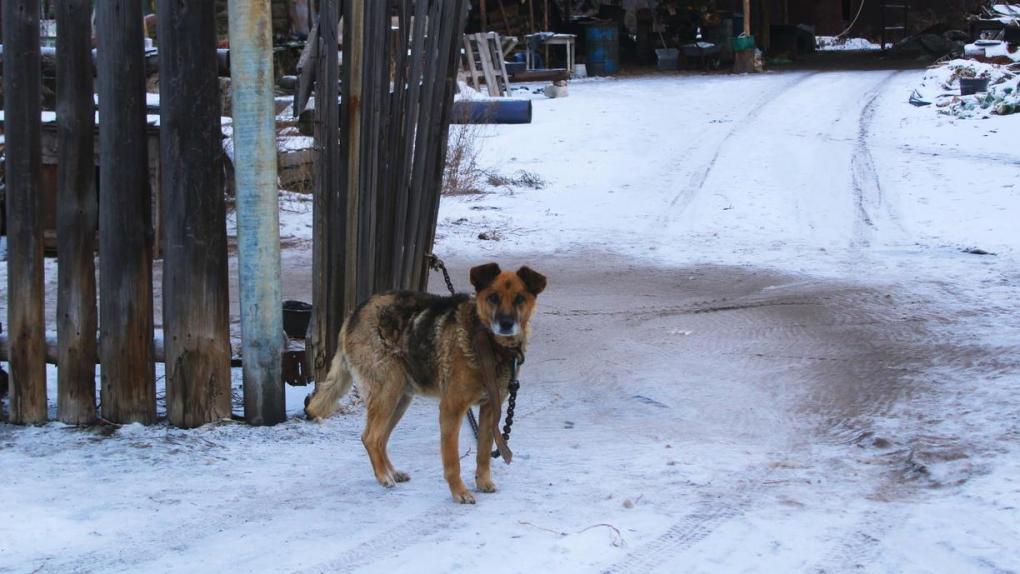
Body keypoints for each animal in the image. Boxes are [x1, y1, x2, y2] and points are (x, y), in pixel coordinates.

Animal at [301, 263, 546, 503]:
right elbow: (452, 459)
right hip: (388, 391)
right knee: (370, 437)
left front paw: (483, 481)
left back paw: (391, 472)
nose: (506, 324)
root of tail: (355, 312)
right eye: (493, 297)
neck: (489, 344)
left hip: (400, 398)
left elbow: (484, 451)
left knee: (380, 438)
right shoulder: (452, 409)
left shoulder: (489, 409)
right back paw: (383, 476)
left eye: (519, 299)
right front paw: (459, 492)